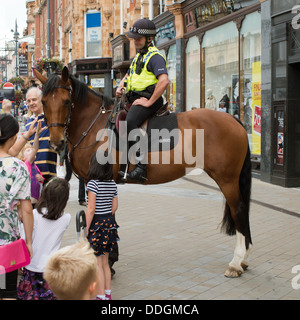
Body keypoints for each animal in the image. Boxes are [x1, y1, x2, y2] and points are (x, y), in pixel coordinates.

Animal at [34, 67, 252, 278]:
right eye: (44, 102)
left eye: (66, 101)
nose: (57, 142)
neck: (96, 127)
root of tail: (234, 120)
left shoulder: (98, 181)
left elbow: (101, 216)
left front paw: (108, 261)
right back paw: (243, 260)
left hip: (227, 179)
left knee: (239, 210)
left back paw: (236, 263)